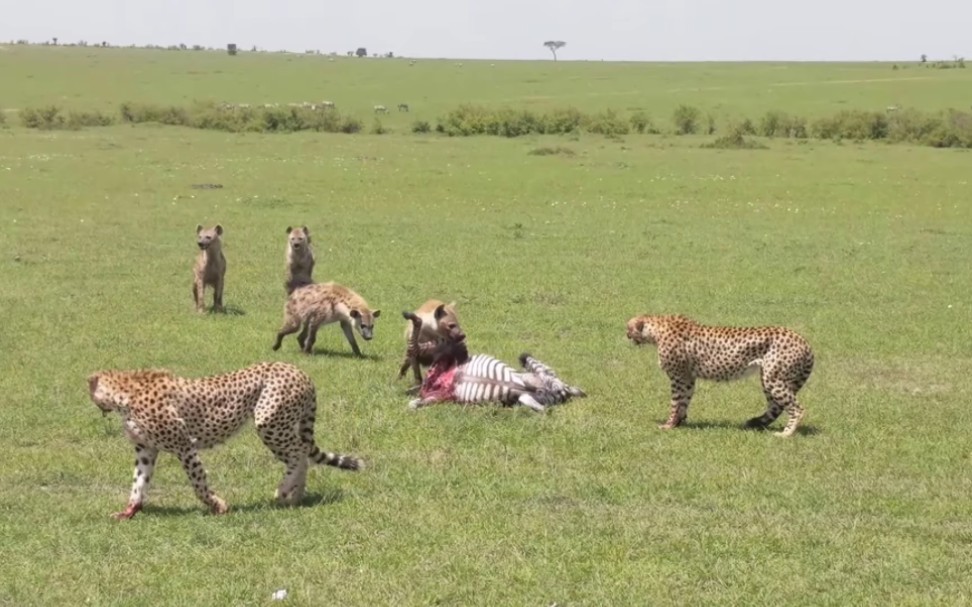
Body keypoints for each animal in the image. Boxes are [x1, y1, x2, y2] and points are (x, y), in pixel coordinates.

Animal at [85, 364, 360, 520]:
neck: (124, 392)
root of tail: (299, 371)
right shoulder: (146, 450)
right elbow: (138, 483)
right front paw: (129, 511)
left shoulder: (185, 445)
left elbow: (198, 484)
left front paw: (218, 506)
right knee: (302, 454)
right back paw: (296, 497)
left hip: (269, 422)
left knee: (299, 453)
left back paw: (284, 491)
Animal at [628, 314, 816, 436]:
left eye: (628, 328)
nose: (626, 334)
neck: (657, 328)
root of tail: (803, 341)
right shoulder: (688, 379)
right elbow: (684, 401)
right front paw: (679, 422)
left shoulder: (679, 378)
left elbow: (675, 402)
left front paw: (668, 425)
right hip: (770, 378)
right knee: (776, 406)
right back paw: (758, 423)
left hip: (774, 379)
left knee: (797, 408)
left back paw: (786, 433)